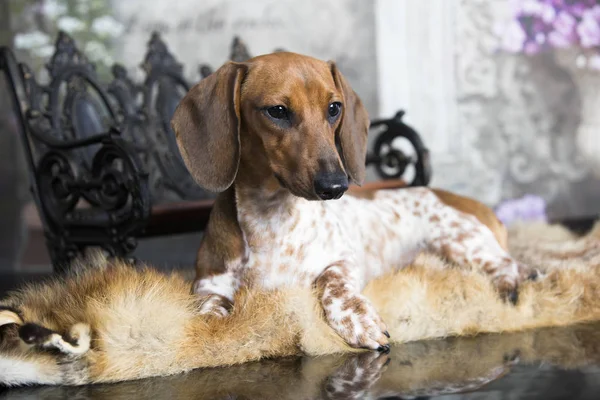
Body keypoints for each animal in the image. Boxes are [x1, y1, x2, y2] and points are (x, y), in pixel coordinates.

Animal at [171, 51, 528, 352]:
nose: (336, 185)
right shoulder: (208, 284)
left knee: (508, 264)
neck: (272, 217)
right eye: (277, 111)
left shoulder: (344, 261)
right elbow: (209, 310)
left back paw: (509, 286)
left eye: (334, 108)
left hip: (462, 243)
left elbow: (333, 283)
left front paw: (359, 320)